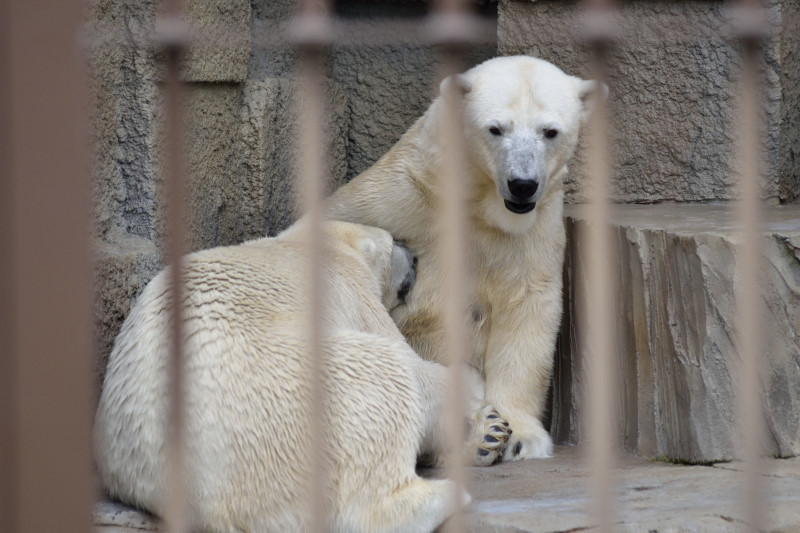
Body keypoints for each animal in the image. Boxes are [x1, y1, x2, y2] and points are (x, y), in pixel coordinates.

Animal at [97, 220, 476, 532]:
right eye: (393, 241)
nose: (414, 257)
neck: (311, 243)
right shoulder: (352, 289)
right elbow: (409, 360)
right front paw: (472, 387)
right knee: (383, 372)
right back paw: (448, 495)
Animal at [324, 53, 608, 462]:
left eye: (550, 131)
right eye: (495, 129)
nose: (523, 184)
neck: (478, 202)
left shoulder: (534, 228)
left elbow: (527, 308)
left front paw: (520, 436)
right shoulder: (401, 196)